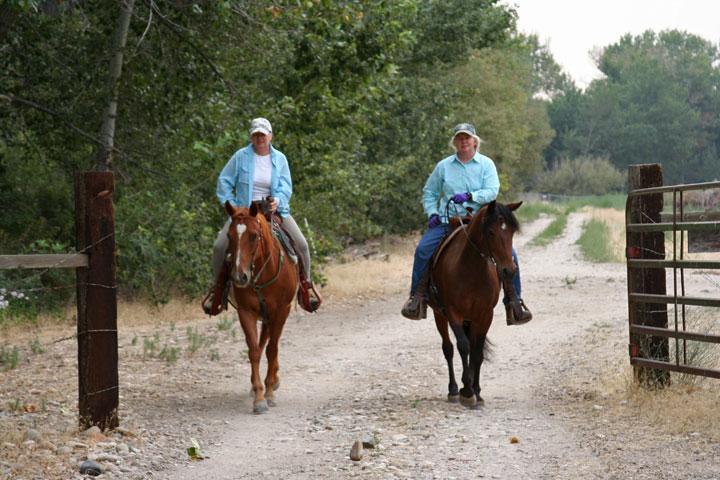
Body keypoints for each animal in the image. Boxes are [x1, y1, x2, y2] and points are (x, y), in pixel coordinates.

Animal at [222, 199, 296, 412]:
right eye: (229, 235)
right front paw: (259, 397)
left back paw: (274, 381)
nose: (240, 276)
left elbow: (272, 350)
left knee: (271, 344)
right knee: (262, 342)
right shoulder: (246, 312)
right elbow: (254, 350)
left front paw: (269, 392)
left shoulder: (281, 311)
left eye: (254, 236)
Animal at [428, 201, 524, 406]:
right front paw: (467, 390)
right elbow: (463, 346)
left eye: (512, 231)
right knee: (448, 348)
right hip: (439, 314)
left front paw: (476, 391)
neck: (471, 270)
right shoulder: (453, 312)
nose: (509, 270)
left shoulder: (485, 314)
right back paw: (453, 389)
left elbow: (477, 351)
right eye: (491, 232)